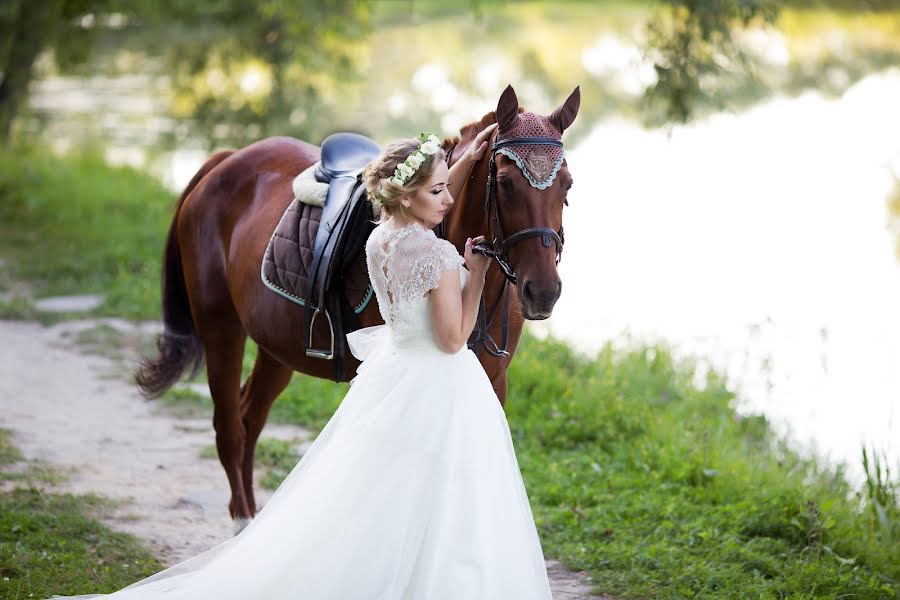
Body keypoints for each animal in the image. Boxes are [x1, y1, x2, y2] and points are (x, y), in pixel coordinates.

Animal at [136, 84, 580, 524]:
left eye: (568, 186)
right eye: (505, 183)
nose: (543, 291)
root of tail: (226, 160)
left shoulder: (493, 383)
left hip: (277, 347)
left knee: (250, 416)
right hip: (221, 330)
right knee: (230, 428)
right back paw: (242, 521)